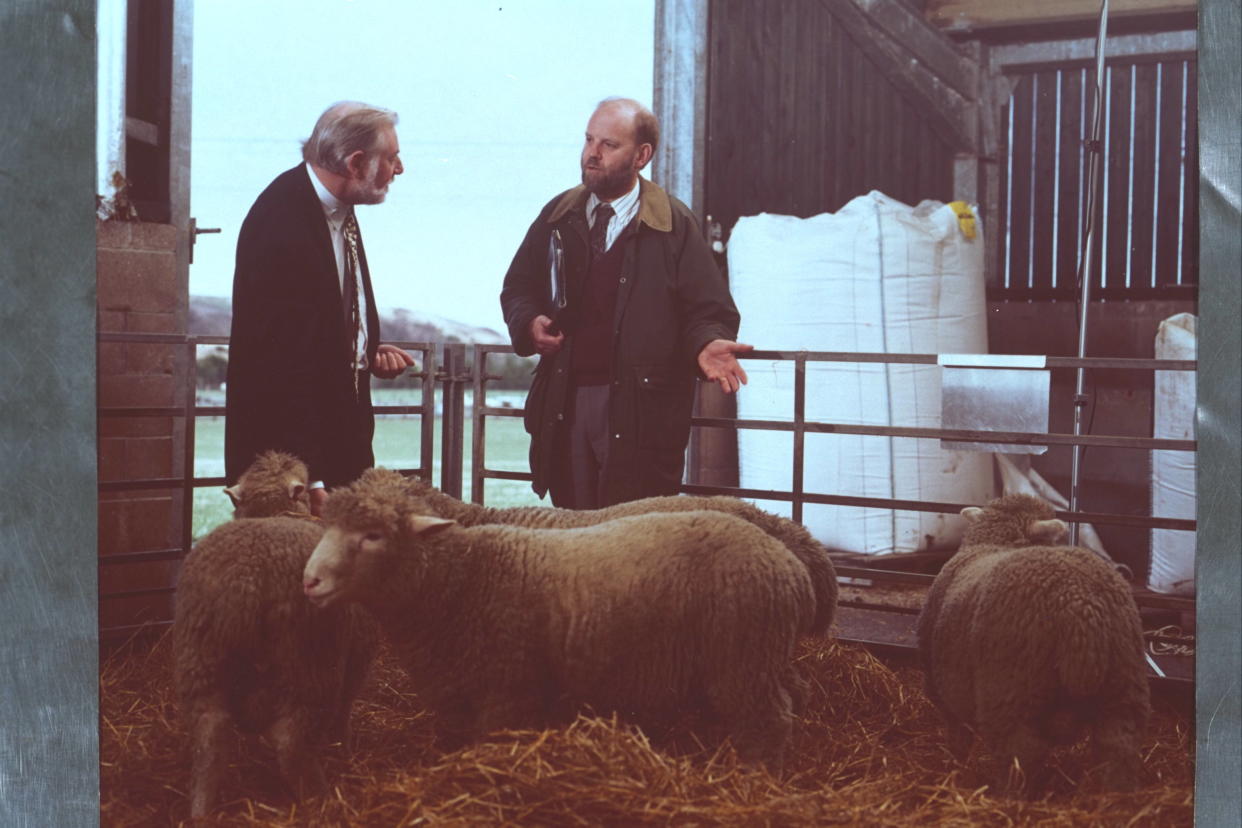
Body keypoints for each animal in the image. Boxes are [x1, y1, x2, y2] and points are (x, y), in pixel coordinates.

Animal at [171, 454, 377, 814]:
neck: (273, 512)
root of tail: (245, 584)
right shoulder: (358, 653)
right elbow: (346, 704)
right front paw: (343, 744)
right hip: (309, 663)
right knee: (289, 742)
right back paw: (321, 801)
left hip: (199, 659)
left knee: (210, 738)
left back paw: (200, 808)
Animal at [914, 491, 1152, 794]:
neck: (995, 543)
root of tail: (1082, 606)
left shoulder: (942, 687)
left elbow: (958, 735)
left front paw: (956, 766)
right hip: (1124, 685)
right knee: (1119, 745)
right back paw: (1114, 796)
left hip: (1011, 689)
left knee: (1021, 753)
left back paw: (1007, 795)